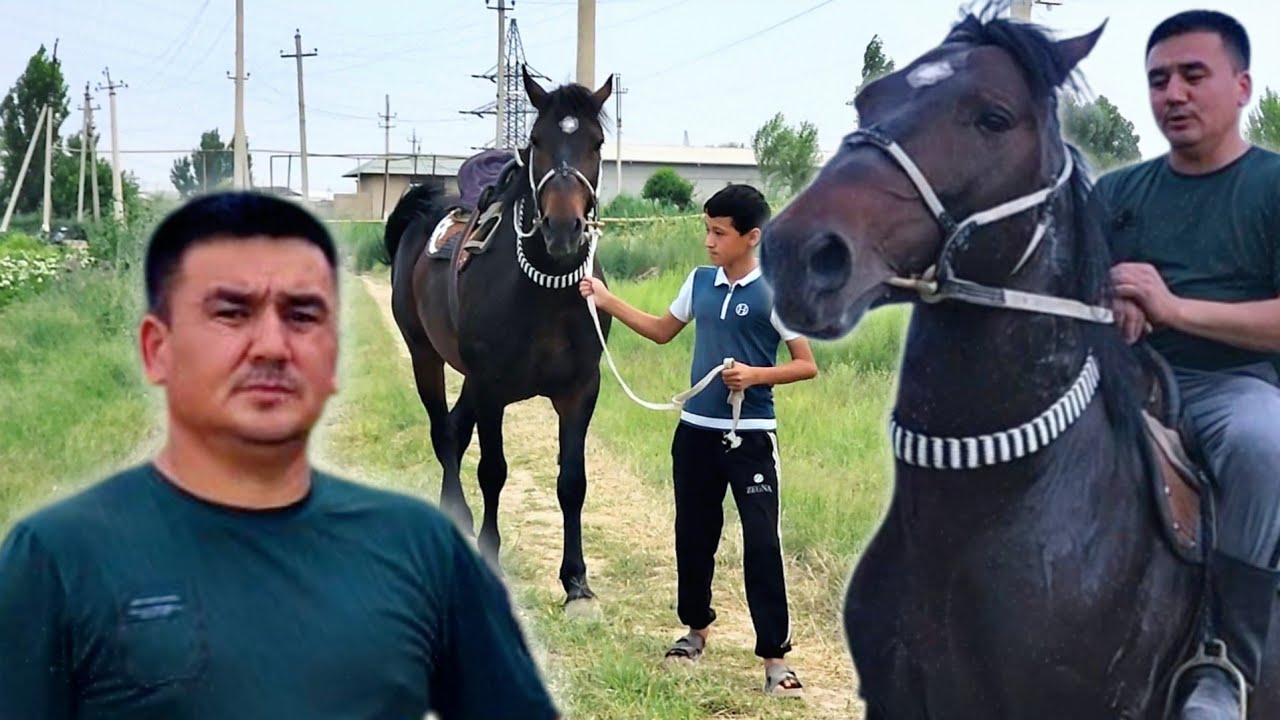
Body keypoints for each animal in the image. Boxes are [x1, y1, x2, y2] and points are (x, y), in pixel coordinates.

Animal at [383, 65, 614, 612]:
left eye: (596, 143)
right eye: (536, 140)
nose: (563, 228)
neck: (545, 295)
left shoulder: (581, 390)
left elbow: (572, 482)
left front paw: (576, 582)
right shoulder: (491, 388)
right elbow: (493, 470)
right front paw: (490, 554)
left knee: (453, 428)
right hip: (426, 355)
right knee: (443, 432)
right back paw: (458, 519)